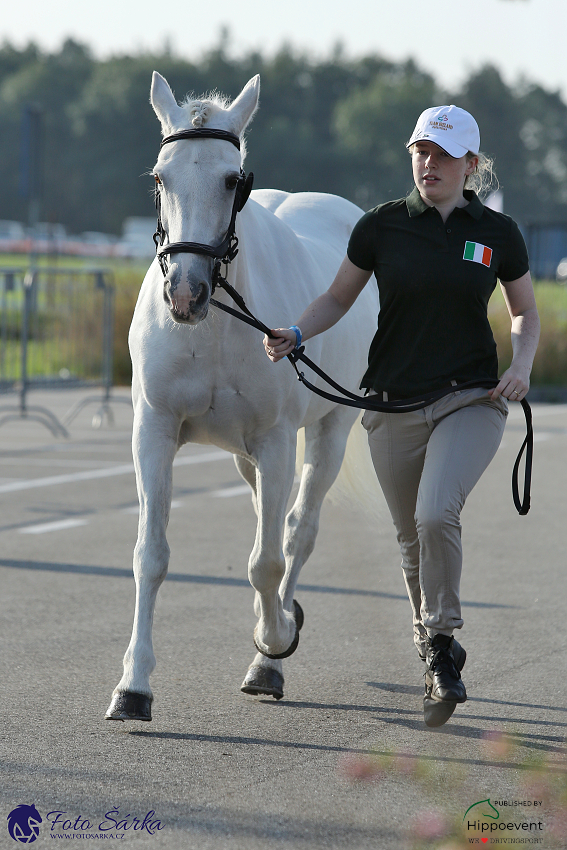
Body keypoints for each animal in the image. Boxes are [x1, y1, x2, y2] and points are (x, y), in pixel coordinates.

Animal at [106, 74, 382, 724]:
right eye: (161, 177)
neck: (214, 329)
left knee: (296, 532)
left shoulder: (277, 441)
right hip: (242, 455)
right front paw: (133, 687)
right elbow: (151, 555)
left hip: (330, 431)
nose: (184, 293)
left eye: (233, 179)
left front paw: (274, 647)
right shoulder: (154, 432)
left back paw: (271, 649)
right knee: (269, 519)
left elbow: (268, 560)